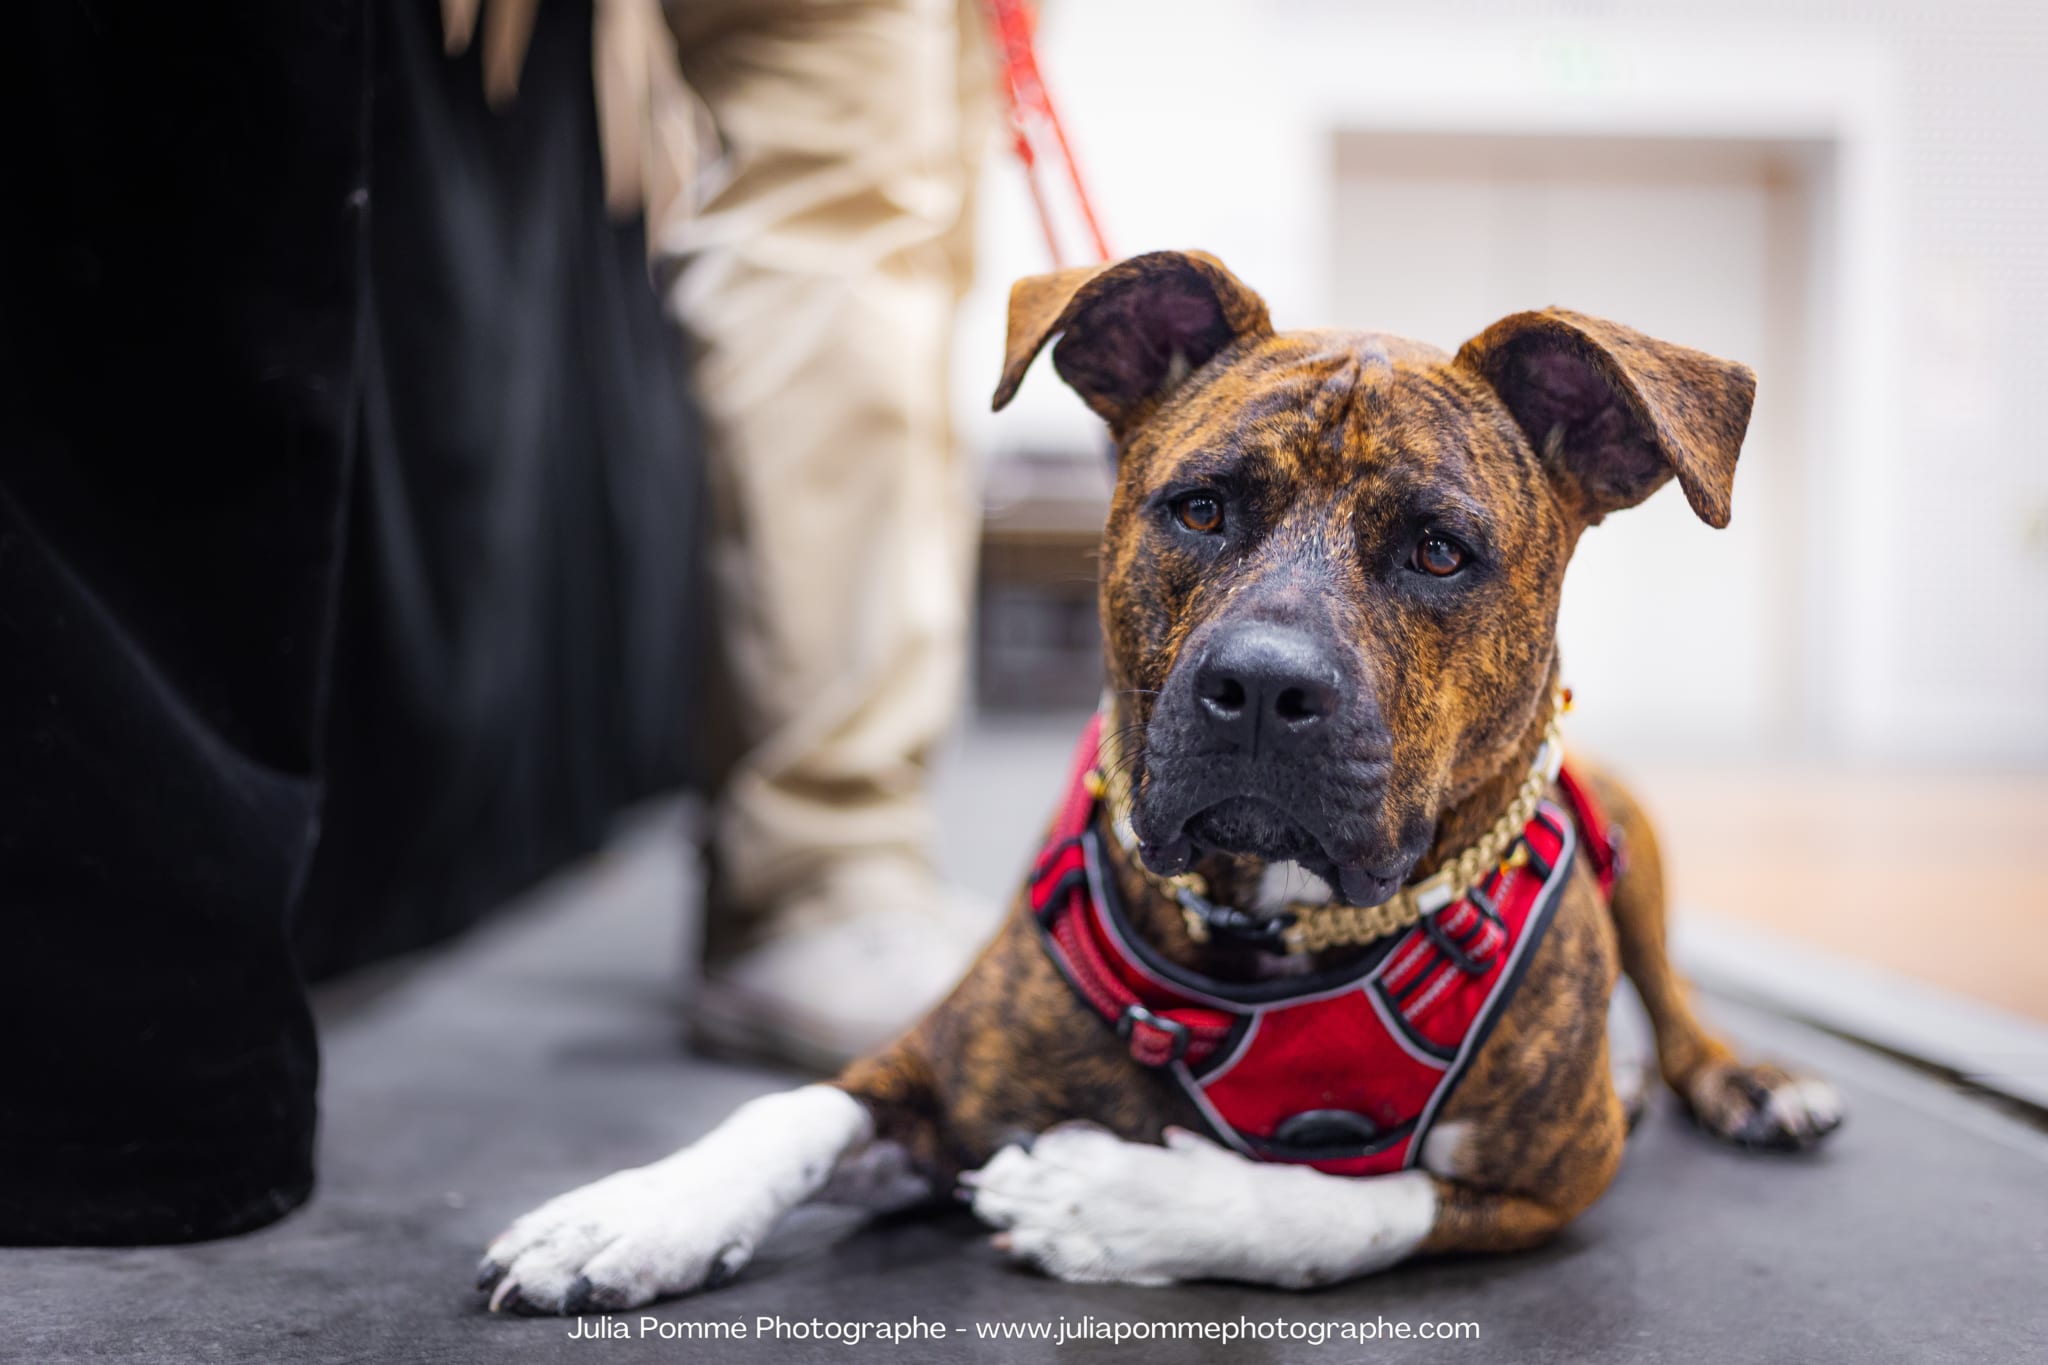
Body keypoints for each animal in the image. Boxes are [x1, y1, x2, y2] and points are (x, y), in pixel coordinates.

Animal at [475, 248, 1843, 1309]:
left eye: (1439, 551)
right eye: (1198, 508)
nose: (1262, 687)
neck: (1268, 933)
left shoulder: (1547, 1178)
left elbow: (1345, 1206)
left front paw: (1117, 1204)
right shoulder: (930, 1073)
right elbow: (791, 1110)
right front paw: (639, 1214)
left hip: (1633, 833)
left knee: (1669, 995)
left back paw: (1746, 1079)